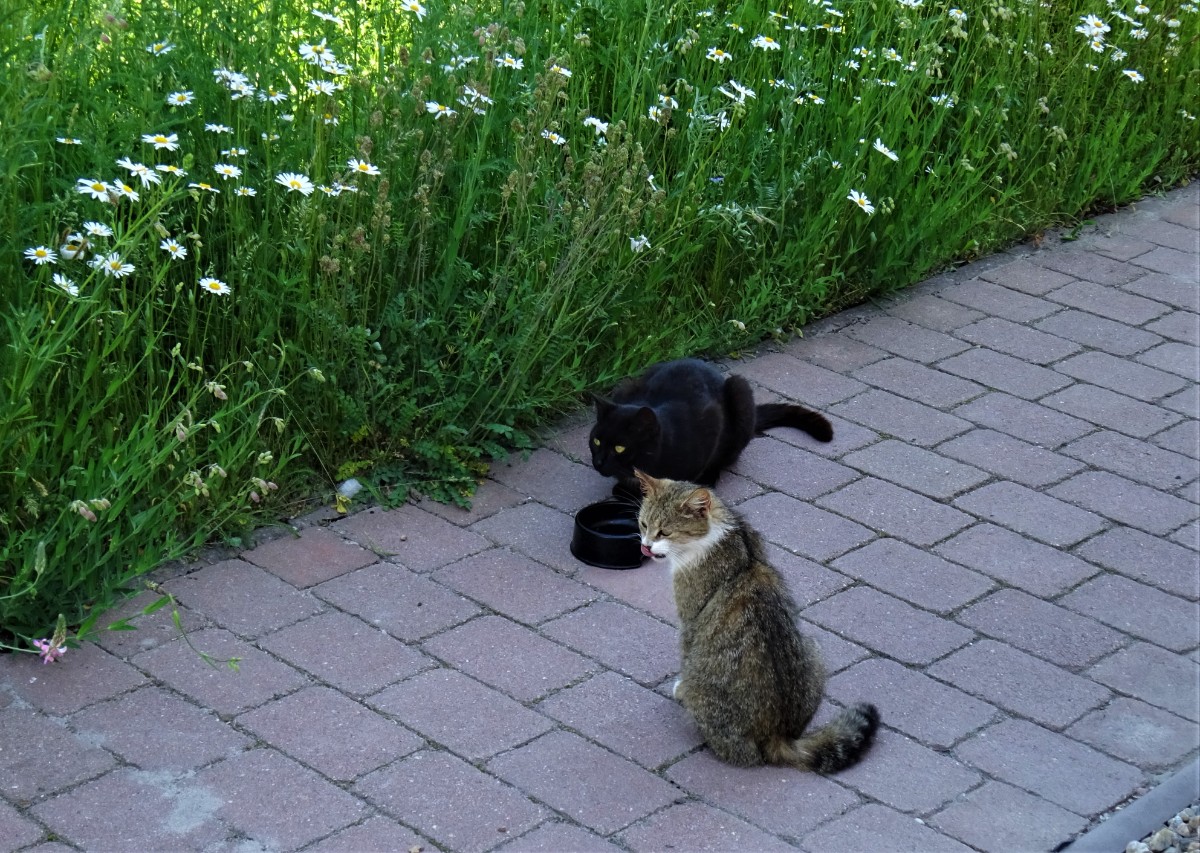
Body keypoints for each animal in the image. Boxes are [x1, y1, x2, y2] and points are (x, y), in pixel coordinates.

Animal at [589, 358, 832, 495]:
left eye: (620, 447)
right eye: (596, 441)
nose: (598, 461)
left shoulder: (711, 419)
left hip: (740, 390)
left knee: (728, 457)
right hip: (627, 383)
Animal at [636, 469, 879, 773]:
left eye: (665, 532)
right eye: (643, 524)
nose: (645, 546)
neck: (727, 533)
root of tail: (779, 736)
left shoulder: (690, 619)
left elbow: (686, 648)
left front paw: (679, 689)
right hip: (814, 648)